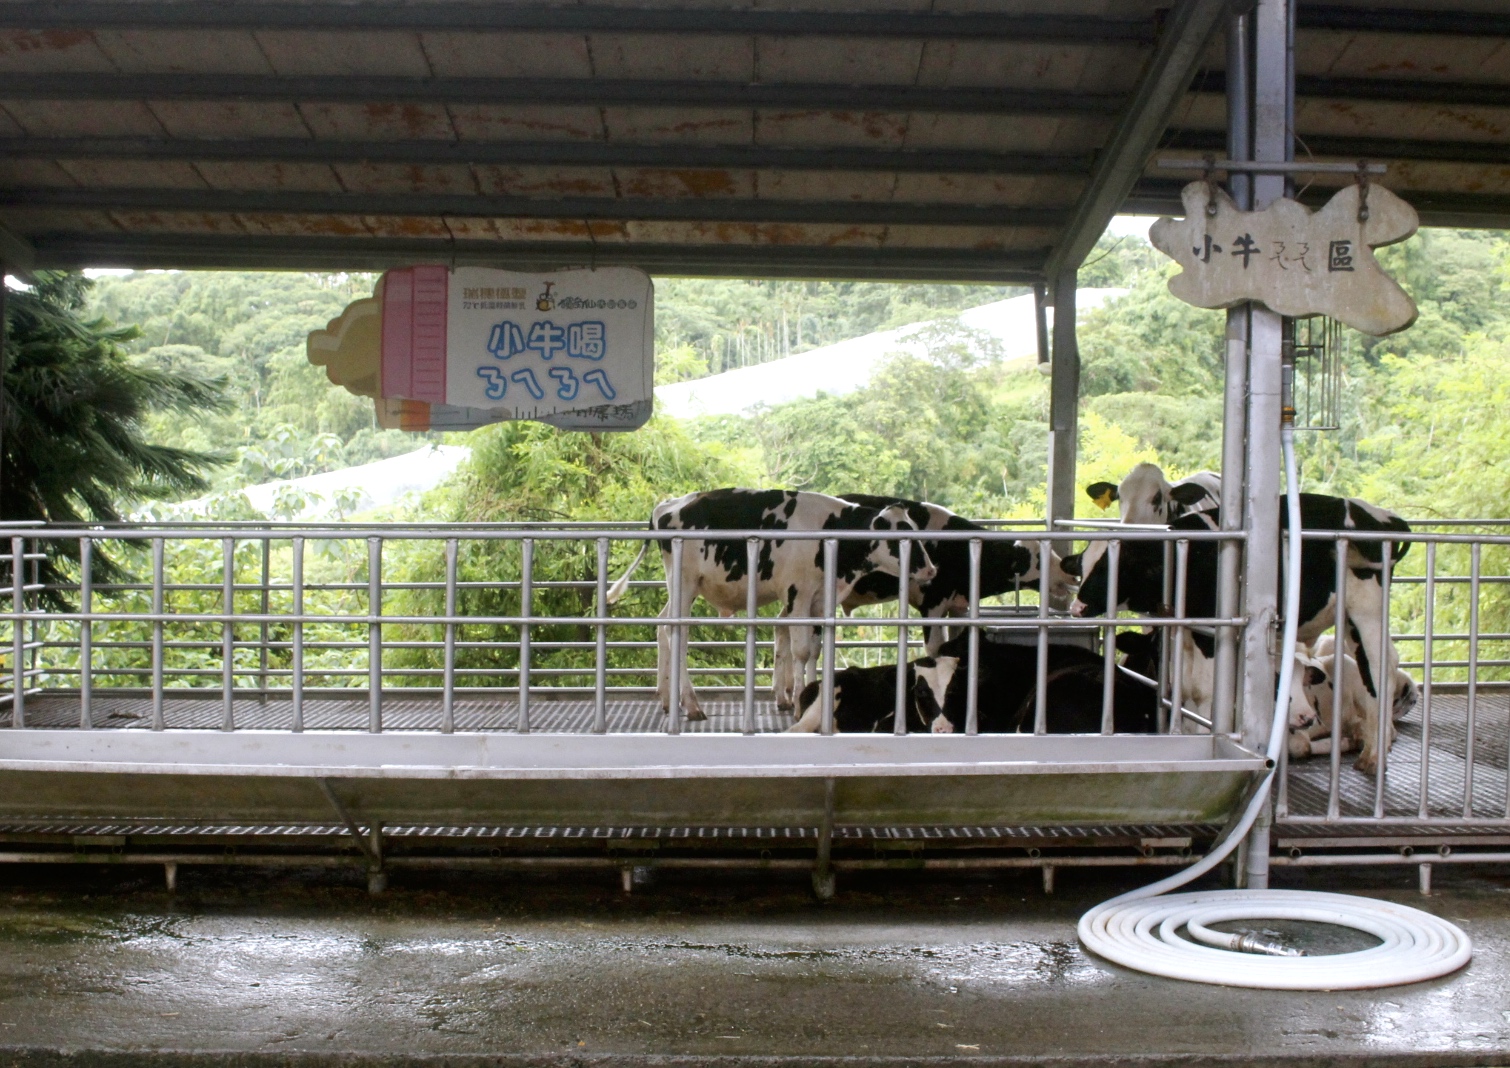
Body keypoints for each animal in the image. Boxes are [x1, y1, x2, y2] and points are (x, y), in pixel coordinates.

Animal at [600, 489, 930, 719]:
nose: (930, 569)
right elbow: (801, 651)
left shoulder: (820, 599)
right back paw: (691, 704)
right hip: (684, 582)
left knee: (662, 626)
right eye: (898, 537)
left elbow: (815, 650)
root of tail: (667, 506)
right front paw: (798, 702)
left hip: (681, 588)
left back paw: (669, 698)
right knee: (675, 632)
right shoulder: (797, 594)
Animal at [1075, 492, 1413, 779]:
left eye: (1109, 569)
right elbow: (1180, 684)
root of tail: (1382, 516)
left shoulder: (1212, 633)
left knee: (1381, 665)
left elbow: (1203, 690)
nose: (1078, 606)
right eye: (1083, 565)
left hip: (1367, 608)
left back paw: (1373, 754)